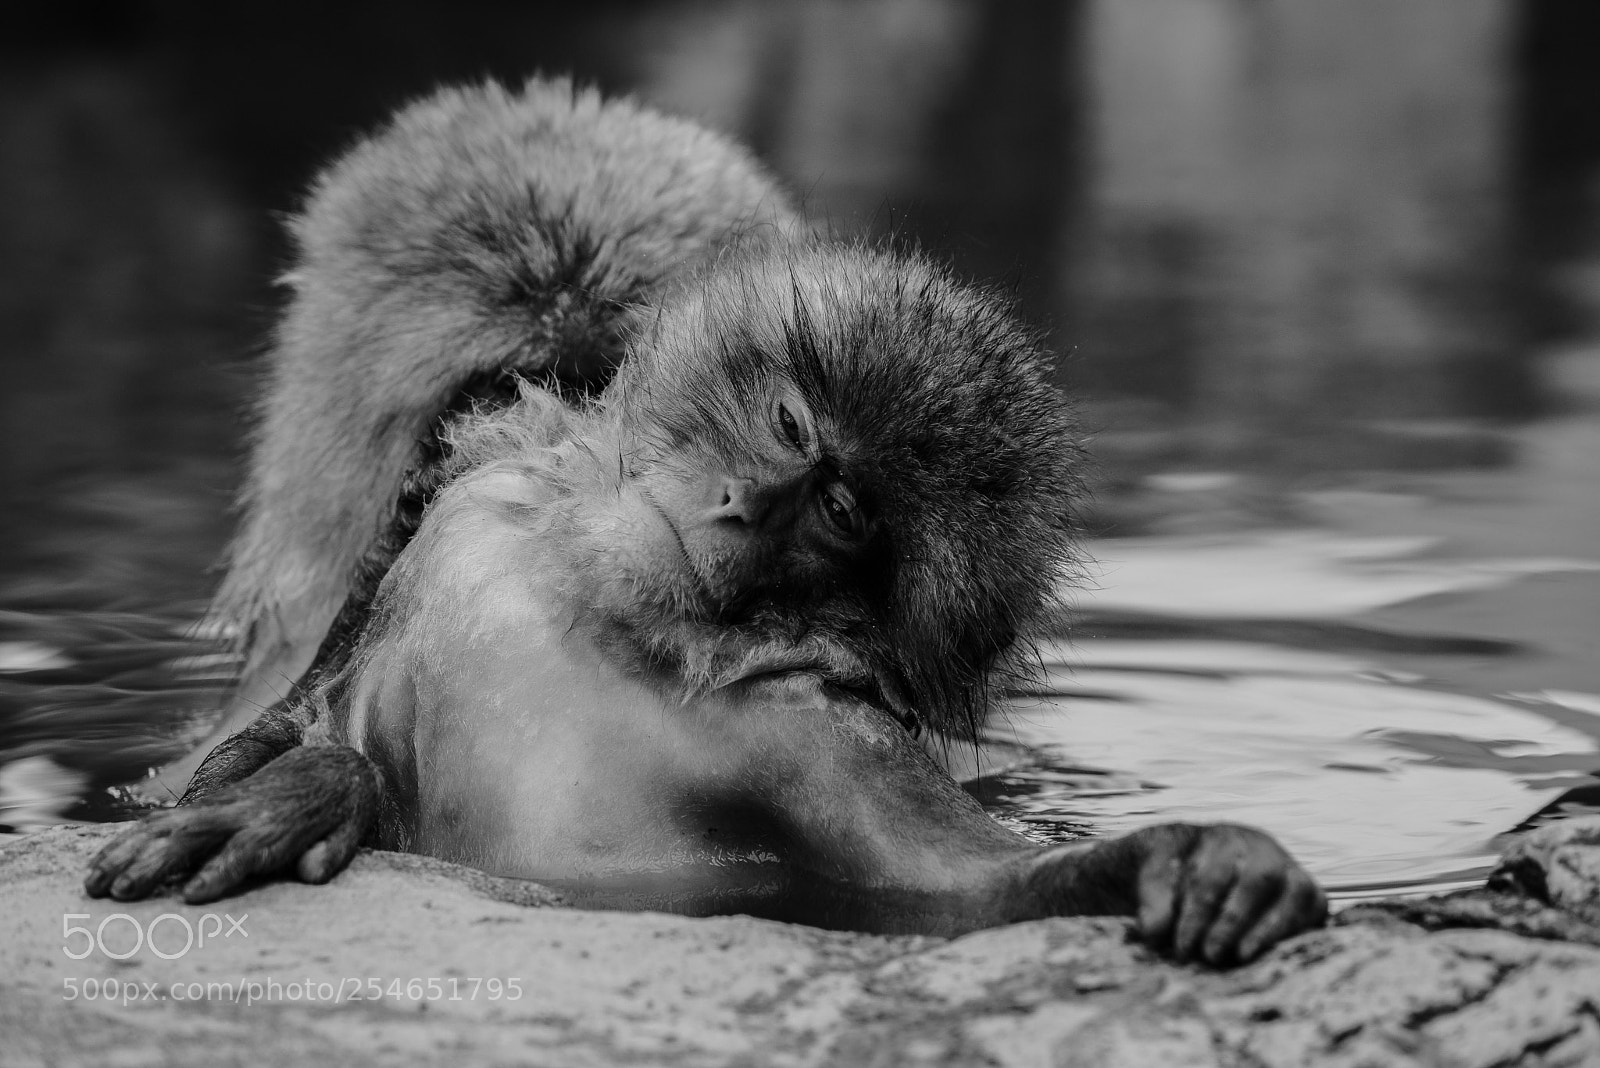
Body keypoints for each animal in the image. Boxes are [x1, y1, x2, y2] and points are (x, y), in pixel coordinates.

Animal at [85, 77, 1325, 964]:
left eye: (839, 512)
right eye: (786, 422)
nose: (742, 502)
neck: (593, 604)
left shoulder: (813, 723)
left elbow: (950, 880)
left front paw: (1193, 859)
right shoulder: (452, 529)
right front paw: (309, 788)